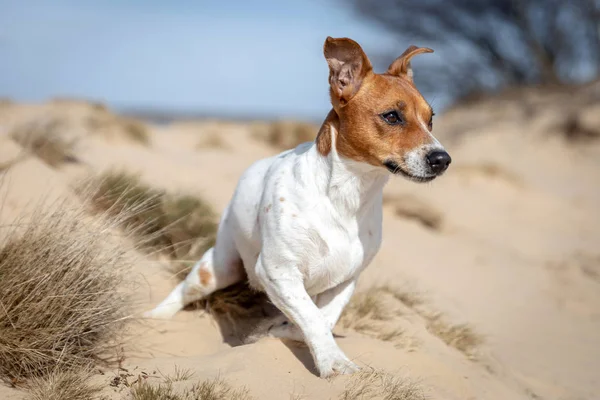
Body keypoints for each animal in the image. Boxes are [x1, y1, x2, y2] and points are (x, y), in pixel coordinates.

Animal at [148, 36, 452, 378]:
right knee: (183, 291)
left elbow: (321, 318)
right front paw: (333, 362)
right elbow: (312, 317)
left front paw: (281, 331)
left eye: (430, 119)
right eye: (392, 116)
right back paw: (153, 319)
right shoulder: (277, 271)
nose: (442, 159)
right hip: (219, 267)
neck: (348, 196)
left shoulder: (345, 280)